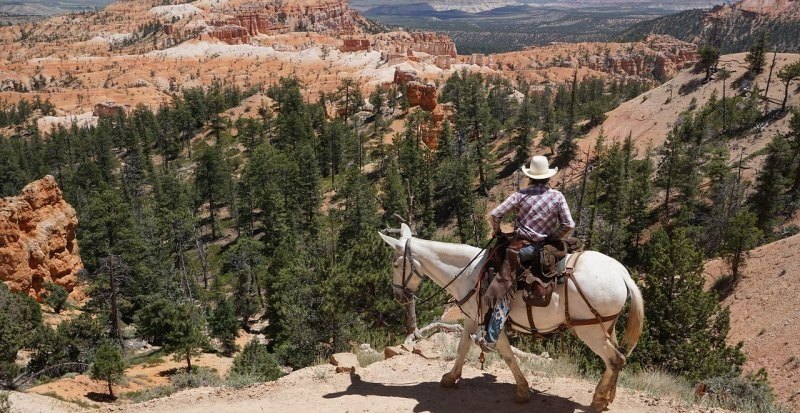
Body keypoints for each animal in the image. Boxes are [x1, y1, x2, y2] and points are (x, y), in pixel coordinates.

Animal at [378, 224, 648, 410]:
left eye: (394, 265)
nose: (398, 295)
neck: (468, 272)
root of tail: (623, 274)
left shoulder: (492, 323)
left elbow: (507, 355)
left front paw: (522, 391)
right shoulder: (473, 319)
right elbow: (463, 348)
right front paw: (450, 378)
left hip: (589, 331)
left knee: (615, 359)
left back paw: (599, 399)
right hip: (605, 325)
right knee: (616, 357)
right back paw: (609, 395)